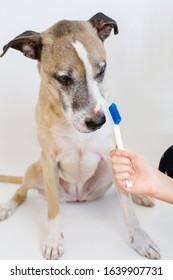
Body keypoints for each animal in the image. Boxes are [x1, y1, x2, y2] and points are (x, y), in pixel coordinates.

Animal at [0, 12, 161, 258]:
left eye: (101, 71)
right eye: (64, 79)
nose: (98, 122)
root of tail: (77, 197)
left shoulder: (112, 154)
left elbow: (127, 208)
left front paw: (140, 238)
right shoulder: (49, 160)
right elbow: (53, 209)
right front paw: (53, 240)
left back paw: (139, 194)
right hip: (36, 170)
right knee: (22, 190)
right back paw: (8, 206)